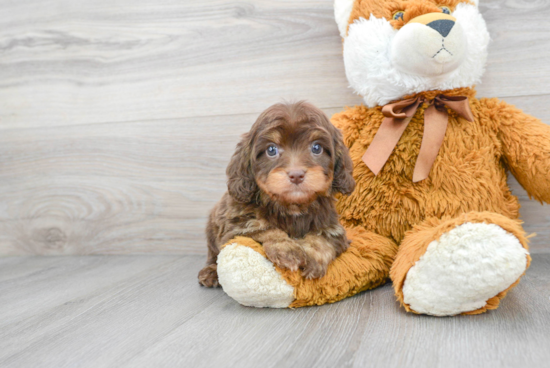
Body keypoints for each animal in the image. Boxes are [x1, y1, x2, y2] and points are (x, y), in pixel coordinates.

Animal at [199, 101, 358, 288]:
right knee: (213, 255)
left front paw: (312, 257)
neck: (291, 206)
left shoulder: (333, 228)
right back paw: (211, 272)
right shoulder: (236, 228)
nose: (296, 175)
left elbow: (322, 239)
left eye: (316, 148)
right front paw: (288, 250)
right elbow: (265, 229)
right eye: (271, 150)